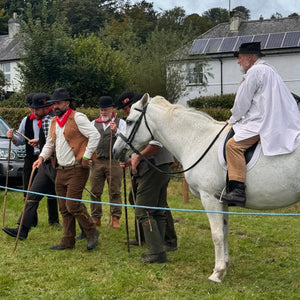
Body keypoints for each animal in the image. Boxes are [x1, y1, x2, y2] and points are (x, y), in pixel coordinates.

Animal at [113, 94, 300, 284]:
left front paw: (217, 273)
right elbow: (224, 232)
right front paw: (224, 265)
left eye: (129, 121)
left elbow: (216, 234)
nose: (115, 151)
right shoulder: (221, 201)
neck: (197, 139)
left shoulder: (209, 198)